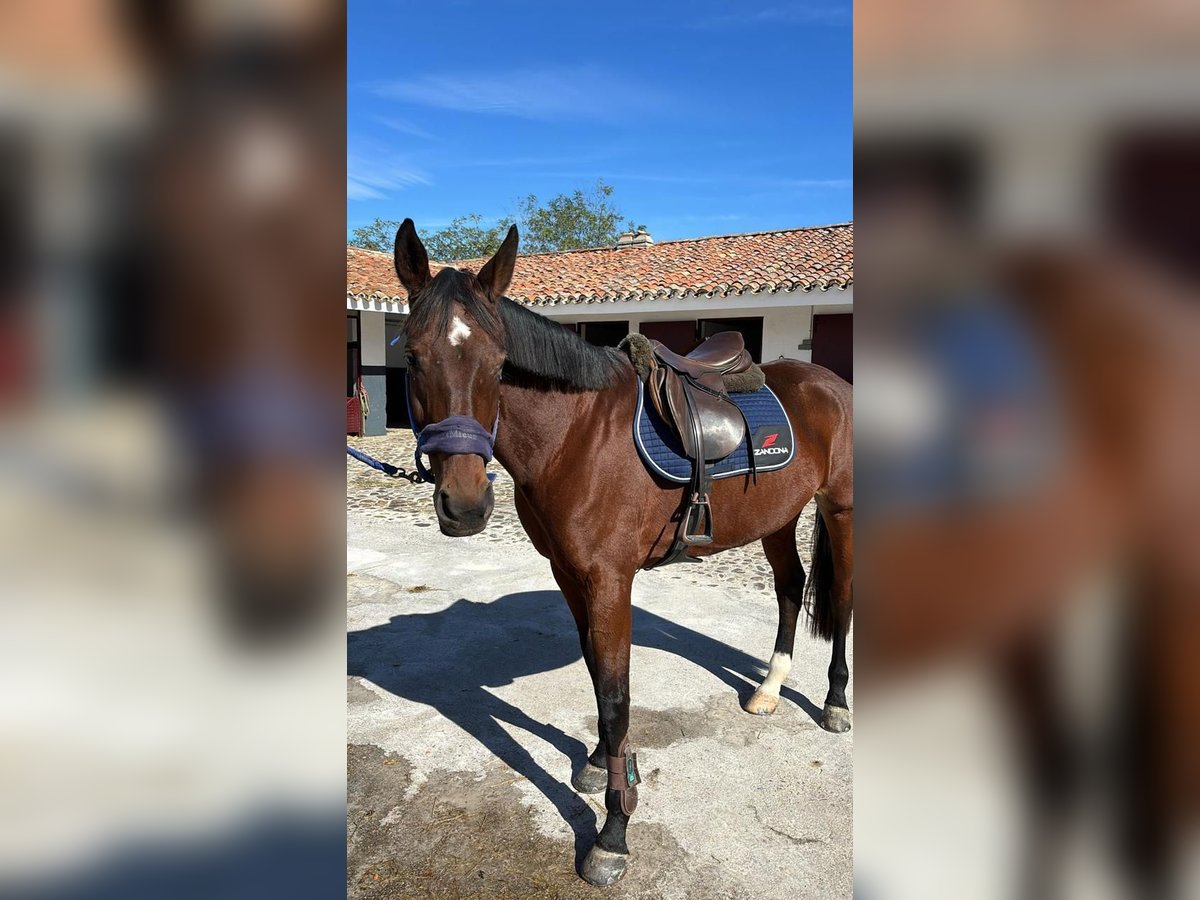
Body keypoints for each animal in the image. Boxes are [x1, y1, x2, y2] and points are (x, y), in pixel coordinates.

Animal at [391, 220, 854, 888]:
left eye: (499, 364)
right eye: (410, 355)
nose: (466, 504)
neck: (576, 436)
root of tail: (831, 383)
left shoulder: (610, 580)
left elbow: (615, 696)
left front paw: (612, 833)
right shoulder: (569, 575)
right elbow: (595, 673)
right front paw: (597, 764)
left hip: (840, 509)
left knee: (840, 599)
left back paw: (835, 703)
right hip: (778, 516)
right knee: (791, 588)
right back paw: (769, 689)